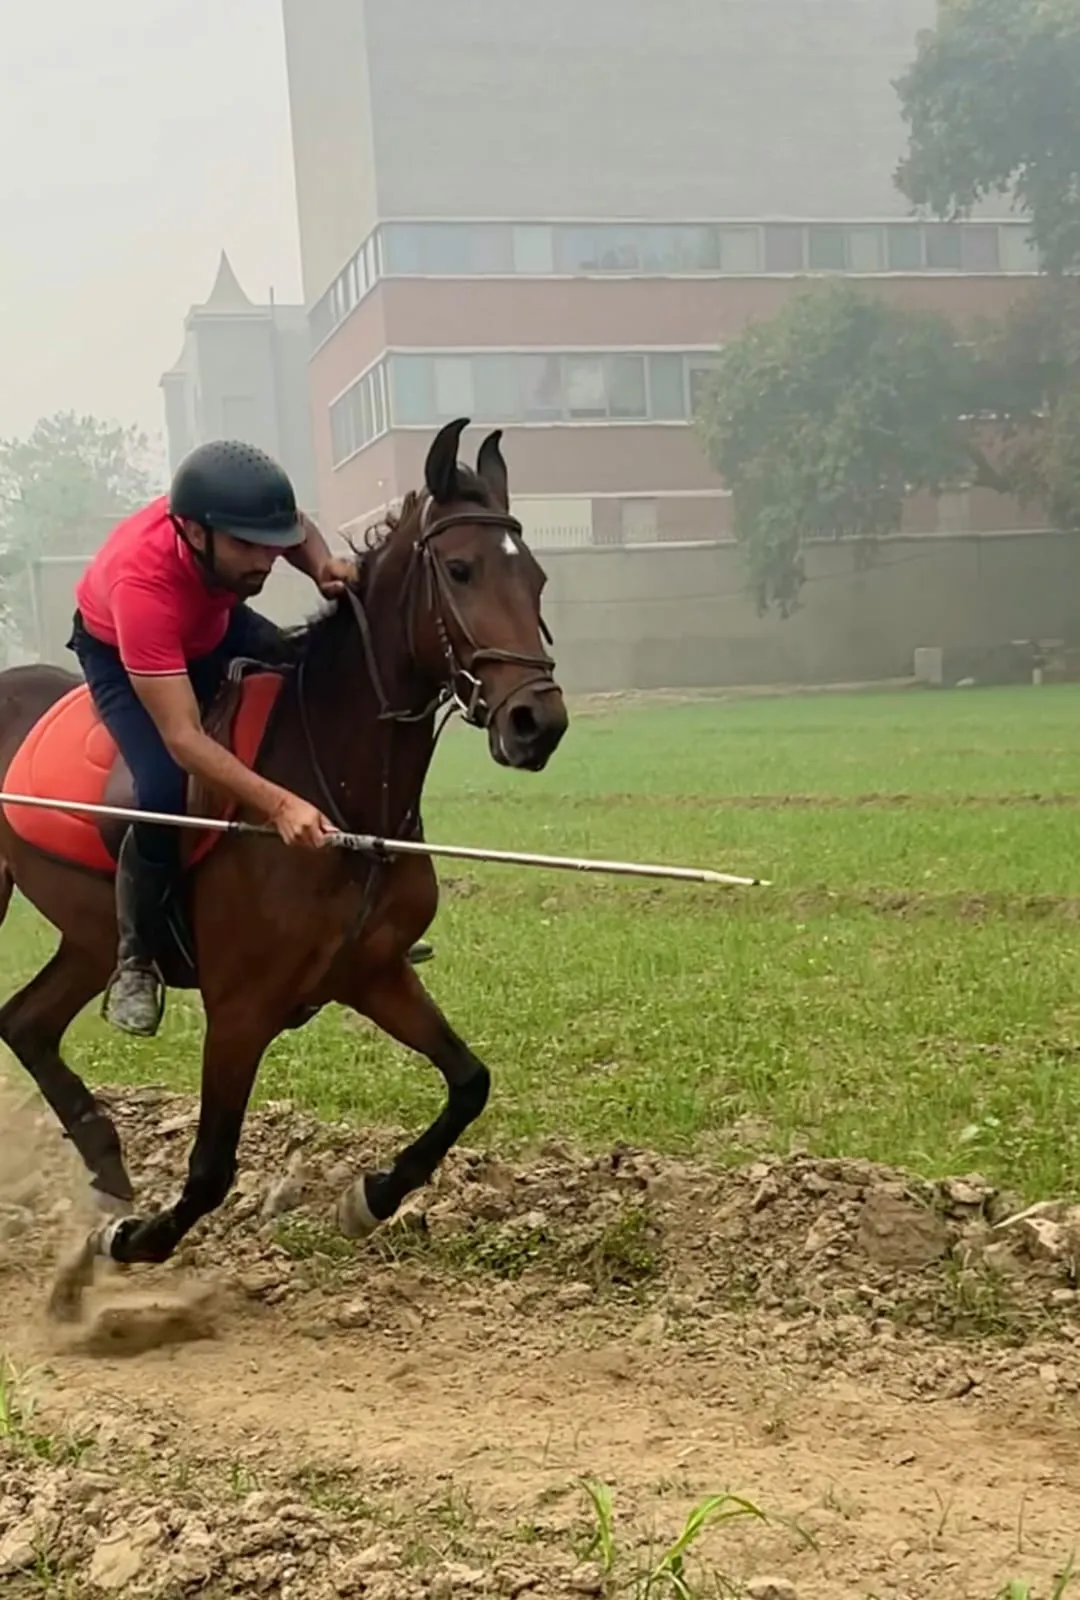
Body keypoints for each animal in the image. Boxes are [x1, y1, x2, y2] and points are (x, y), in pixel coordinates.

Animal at [0, 417, 568, 1311]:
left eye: (536, 574)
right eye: (460, 568)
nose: (537, 722)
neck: (345, 791)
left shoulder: (372, 973)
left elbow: (469, 1082)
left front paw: (370, 1196)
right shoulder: (241, 1008)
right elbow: (210, 1167)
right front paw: (140, 1240)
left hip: (89, 938)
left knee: (23, 1021)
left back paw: (108, 1172)